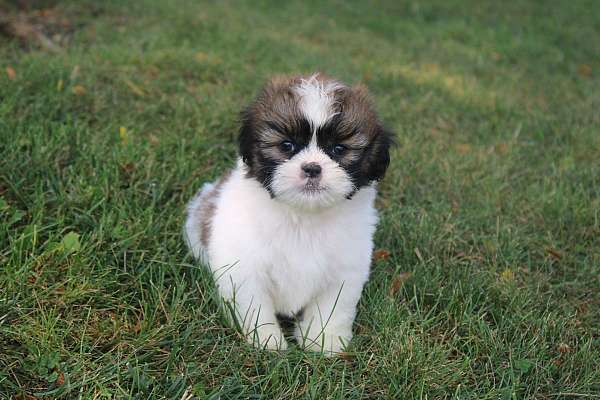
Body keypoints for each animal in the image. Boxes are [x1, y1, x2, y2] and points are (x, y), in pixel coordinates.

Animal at [185, 73, 392, 354]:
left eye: (338, 150)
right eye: (287, 145)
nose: (312, 168)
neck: (303, 217)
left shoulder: (344, 272)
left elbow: (332, 308)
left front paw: (323, 342)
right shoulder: (244, 269)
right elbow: (254, 305)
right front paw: (266, 341)